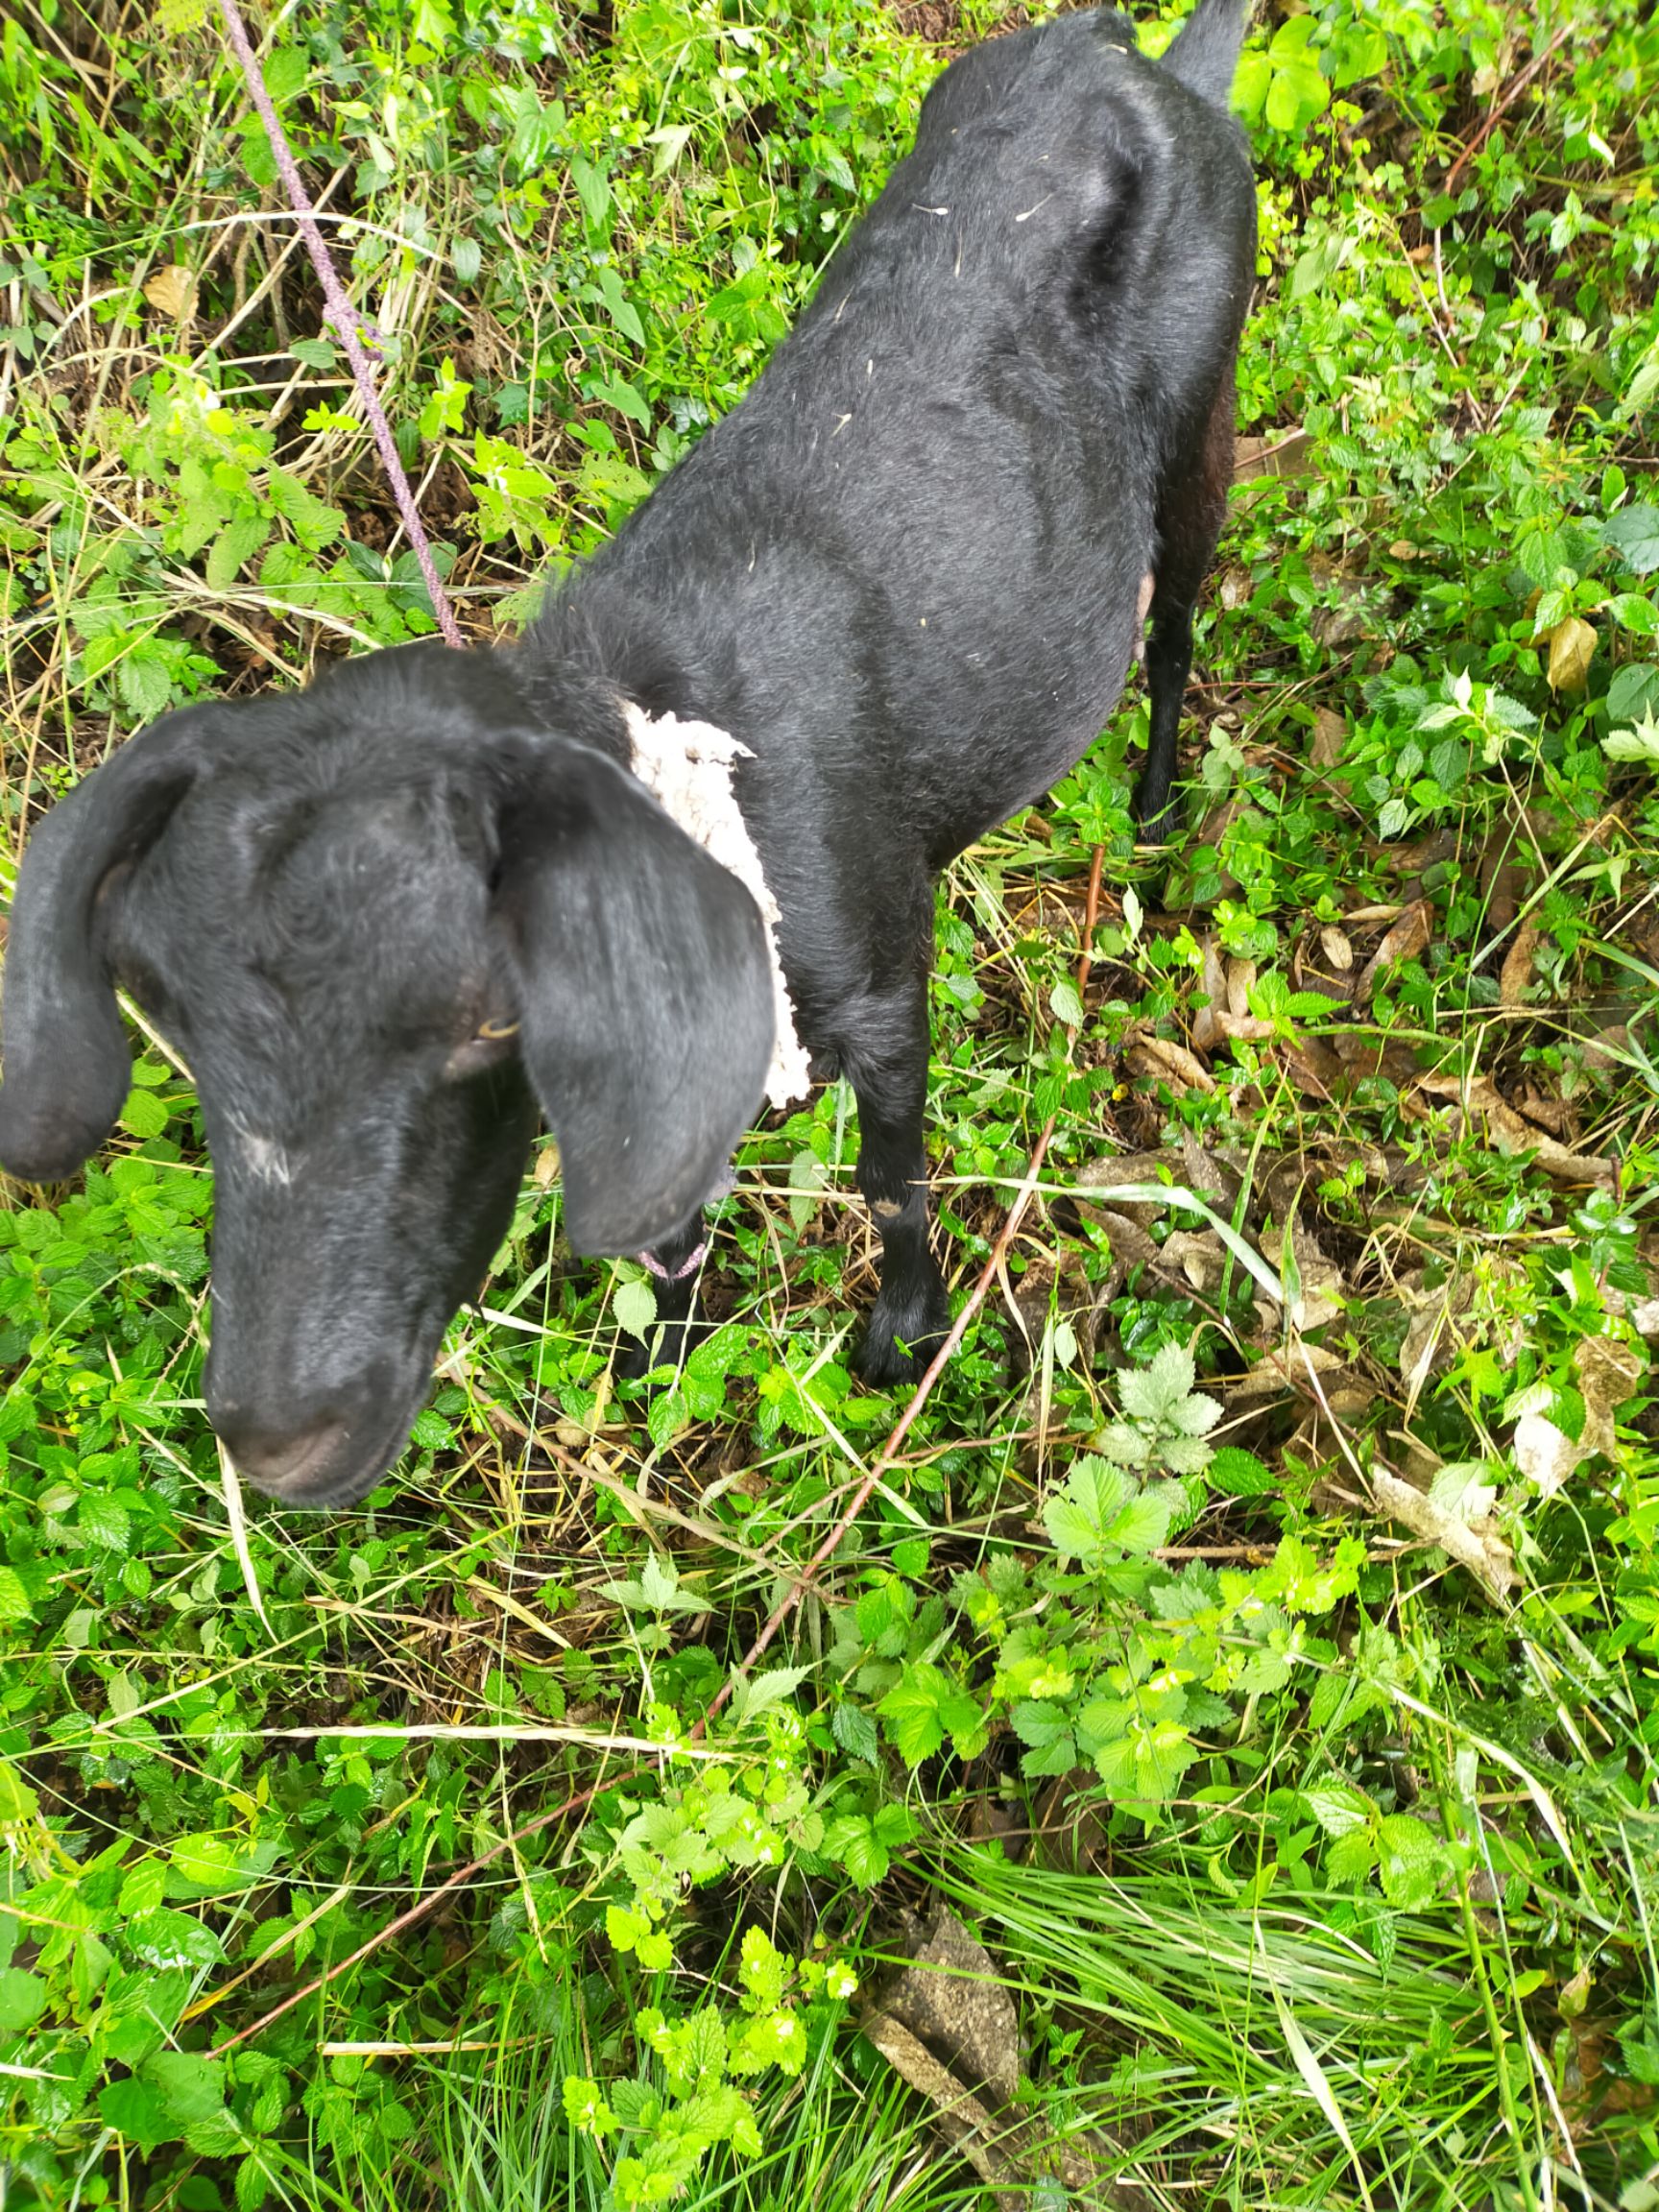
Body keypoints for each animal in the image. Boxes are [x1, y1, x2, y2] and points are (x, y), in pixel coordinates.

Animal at [0, 0, 1256, 1512]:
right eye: (173, 1027)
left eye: (486, 1022)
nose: (277, 1438)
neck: (688, 753)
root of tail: (1137, 57)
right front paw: (665, 1356)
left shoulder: (883, 974)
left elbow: (893, 1176)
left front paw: (900, 1342)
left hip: (1206, 399)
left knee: (1178, 612)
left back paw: (1159, 808)